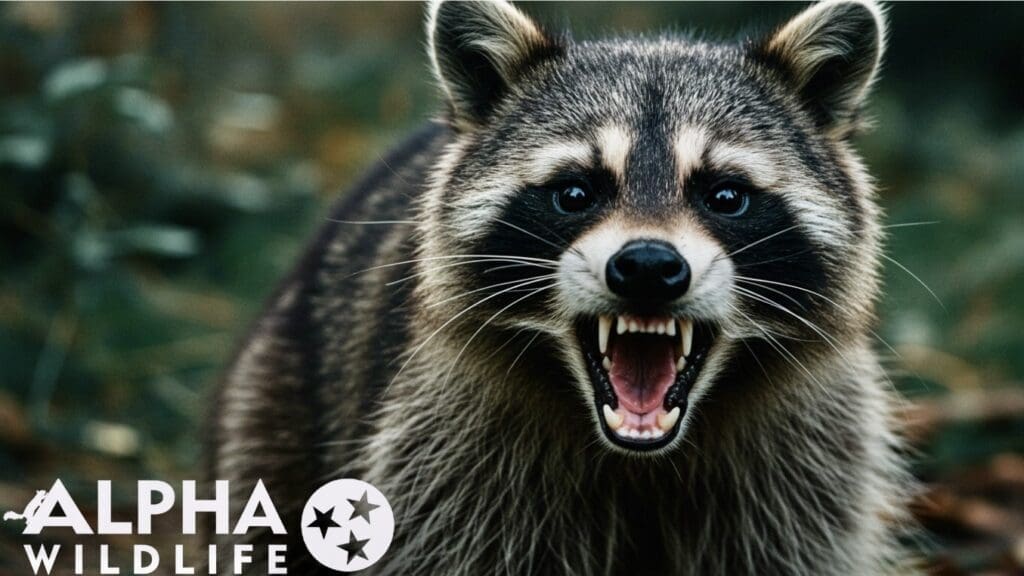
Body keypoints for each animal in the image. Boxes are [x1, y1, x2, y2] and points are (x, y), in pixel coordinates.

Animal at [207, 1, 917, 574]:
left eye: (725, 196)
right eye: (575, 193)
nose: (648, 266)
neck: (639, 459)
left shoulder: (805, 461)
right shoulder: (452, 460)